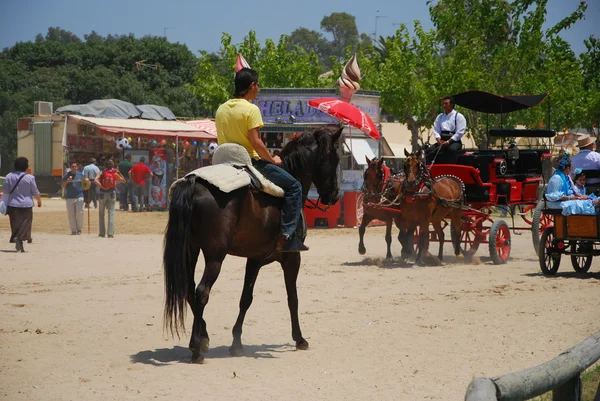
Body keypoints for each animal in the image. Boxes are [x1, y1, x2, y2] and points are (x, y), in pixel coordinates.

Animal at [163, 126, 342, 362]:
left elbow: (245, 298)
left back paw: (203, 338)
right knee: (201, 292)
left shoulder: (254, 260)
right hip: (215, 256)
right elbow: (292, 298)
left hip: (190, 250)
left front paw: (236, 344)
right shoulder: (292, 258)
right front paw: (300, 339)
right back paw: (196, 348)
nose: (335, 196)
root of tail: (194, 183)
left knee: (189, 290)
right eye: (335, 158)